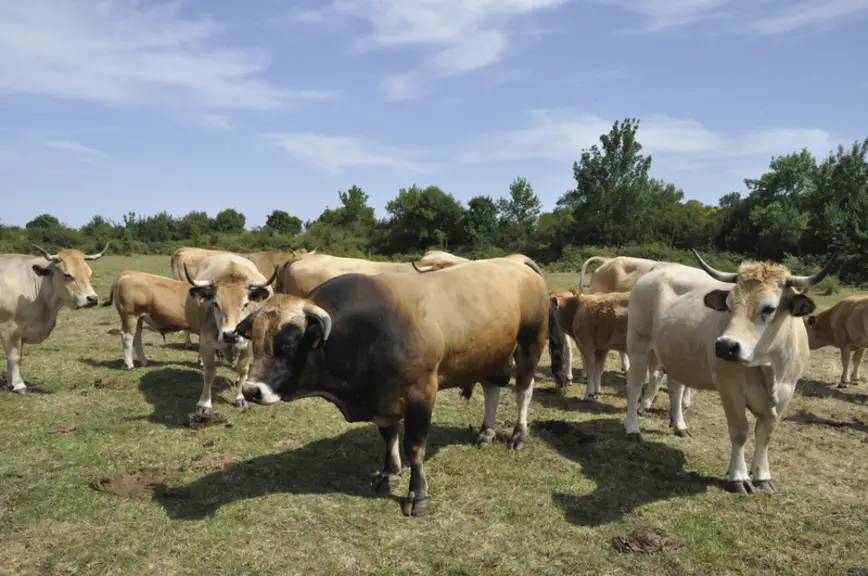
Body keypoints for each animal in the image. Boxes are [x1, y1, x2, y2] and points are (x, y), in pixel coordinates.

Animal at [0, 243, 109, 394]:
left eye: (89, 273)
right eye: (67, 274)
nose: (92, 299)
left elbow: (13, 356)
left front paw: (9, 382)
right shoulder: (10, 328)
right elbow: (14, 356)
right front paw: (18, 384)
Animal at [182, 253, 278, 413]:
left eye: (246, 304)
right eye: (215, 303)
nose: (231, 335)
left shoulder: (248, 344)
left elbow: (243, 369)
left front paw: (240, 398)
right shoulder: (207, 342)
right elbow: (209, 372)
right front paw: (204, 403)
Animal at [233, 256, 560, 517]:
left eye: (288, 341)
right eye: (255, 339)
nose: (251, 390)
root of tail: (515, 261)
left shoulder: (420, 394)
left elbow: (414, 447)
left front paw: (418, 495)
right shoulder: (383, 398)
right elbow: (389, 436)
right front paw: (389, 473)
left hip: (530, 344)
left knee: (524, 390)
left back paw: (518, 435)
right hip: (490, 353)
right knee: (492, 388)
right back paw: (486, 433)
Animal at [623, 250, 837, 493]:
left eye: (769, 308)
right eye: (728, 305)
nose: (725, 346)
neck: (769, 368)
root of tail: (659, 269)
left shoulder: (786, 393)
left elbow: (765, 434)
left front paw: (762, 476)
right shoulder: (730, 389)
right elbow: (740, 432)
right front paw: (739, 477)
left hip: (676, 355)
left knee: (675, 388)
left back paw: (679, 425)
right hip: (637, 345)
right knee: (634, 387)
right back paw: (633, 430)